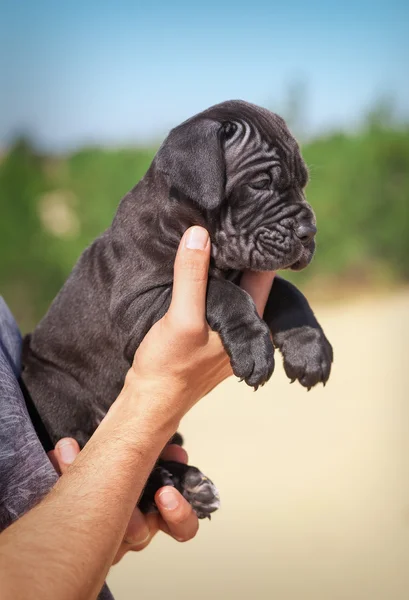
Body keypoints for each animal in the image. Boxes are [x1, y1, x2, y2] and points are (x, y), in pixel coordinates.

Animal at [20, 101, 332, 516]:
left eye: (303, 182)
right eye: (260, 184)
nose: (309, 233)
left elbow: (287, 291)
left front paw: (309, 348)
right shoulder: (142, 305)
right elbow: (221, 291)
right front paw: (253, 345)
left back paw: (189, 486)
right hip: (55, 392)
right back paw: (172, 486)